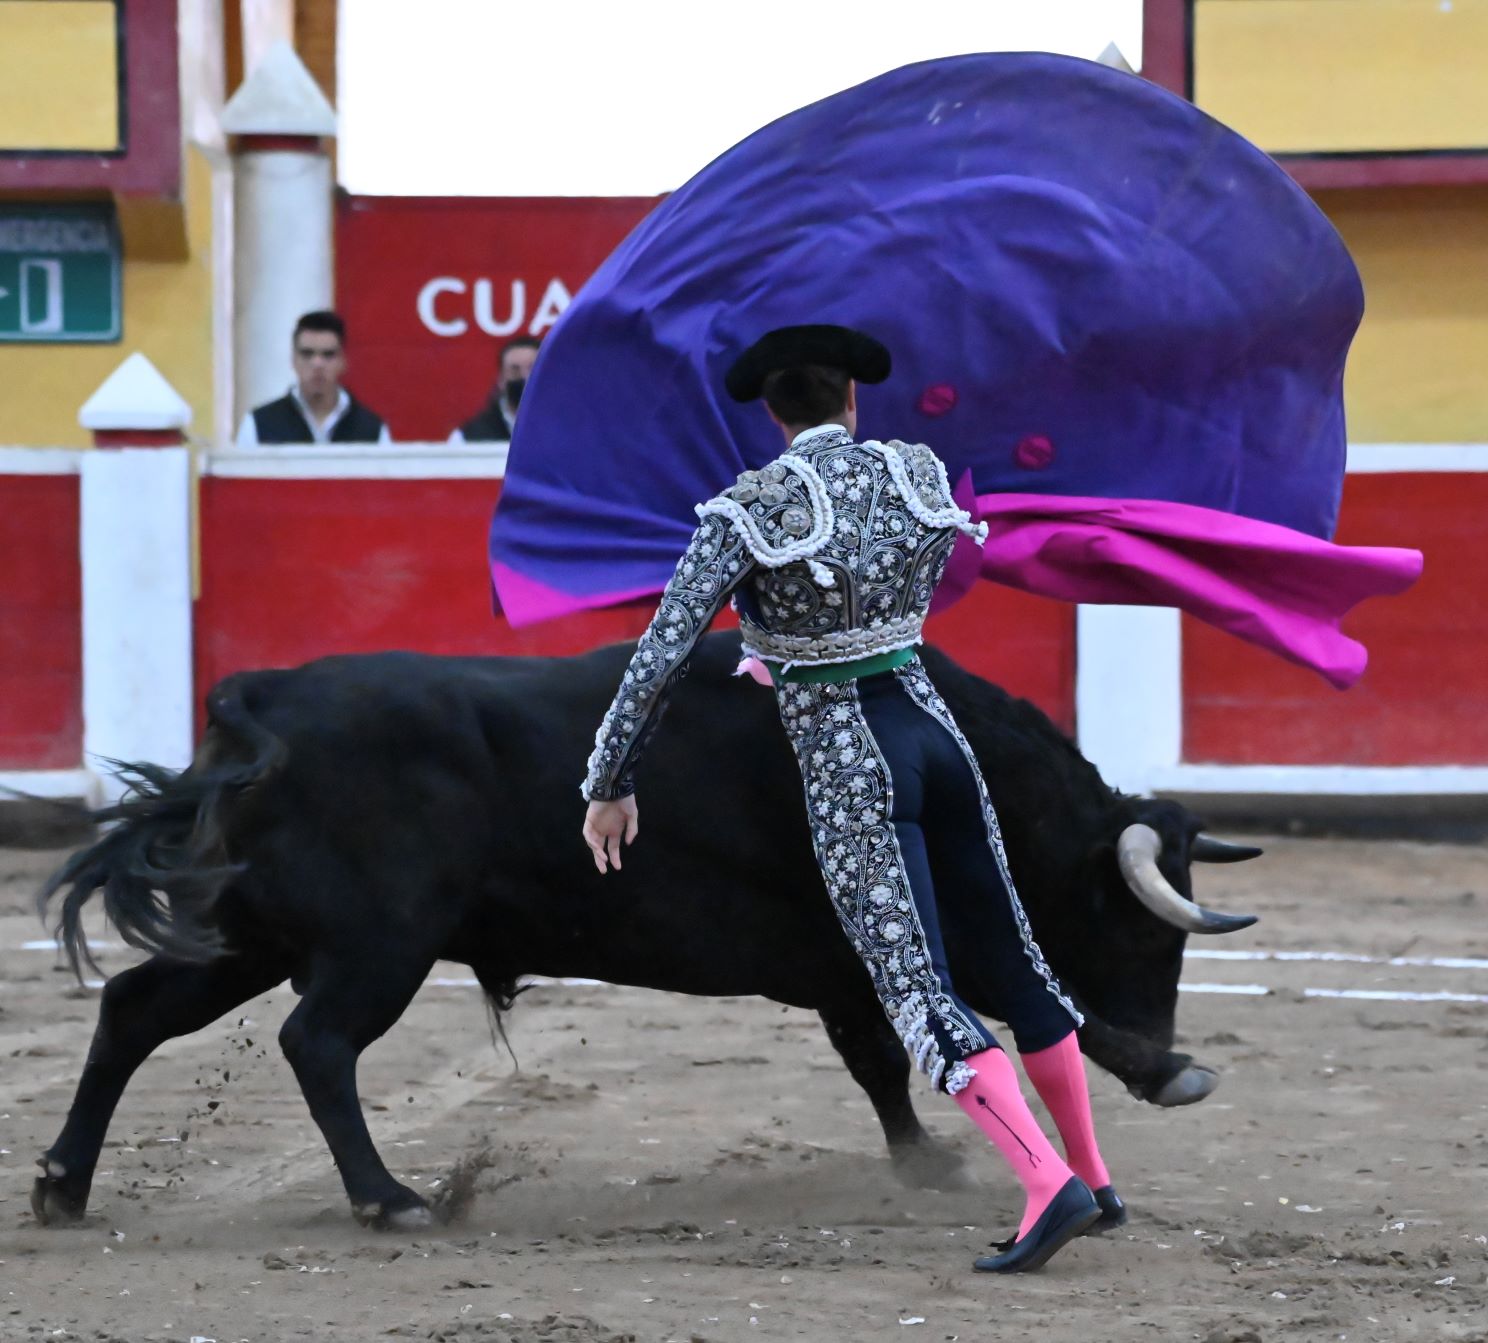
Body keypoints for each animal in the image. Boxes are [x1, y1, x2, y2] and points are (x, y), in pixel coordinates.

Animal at [31, 631, 1259, 1230]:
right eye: (1134, 931)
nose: (1183, 1073)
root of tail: (265, 701)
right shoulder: (851, 952)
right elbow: (883, 1052)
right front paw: (935, 1161)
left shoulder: (839, 965)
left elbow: (879, 1063)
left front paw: (925, 1160)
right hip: (374, 946)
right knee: (318, 1044)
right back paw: (392, 1199)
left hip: (252, 936)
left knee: (134, 1009)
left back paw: (62, 1186)